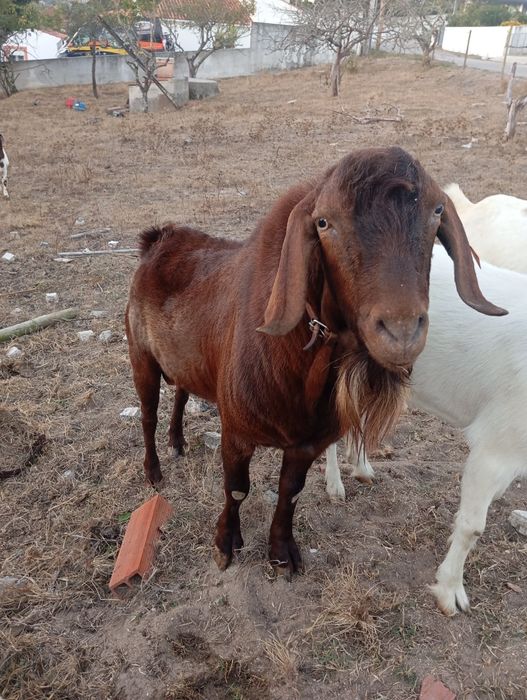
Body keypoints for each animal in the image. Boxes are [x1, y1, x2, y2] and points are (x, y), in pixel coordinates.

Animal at [126, 147, 504, 577]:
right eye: (324, 222)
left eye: (437, 210)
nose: (401, 332)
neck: (297, 366)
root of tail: (158, 239)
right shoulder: (236, 430)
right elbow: (236, 489)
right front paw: (226, 545)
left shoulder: (307, 443)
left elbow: (290, 492)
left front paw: (281, 553)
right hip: (141, 358)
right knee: (148, 414)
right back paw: (154, 472)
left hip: (185, 362)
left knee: (181, 394)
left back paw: (178, 442)